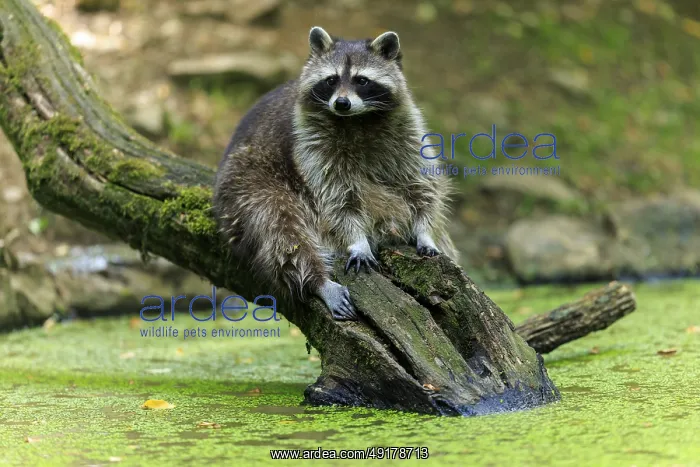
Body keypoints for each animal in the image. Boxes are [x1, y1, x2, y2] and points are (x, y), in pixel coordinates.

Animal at [213, 26, 458, 321]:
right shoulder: (311, 145)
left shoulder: (407, 131)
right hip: (247, 182)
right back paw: (317, 280)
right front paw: (357, 240)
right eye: (331, 80)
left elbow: (422, 184)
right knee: (278, 227)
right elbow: (336, 199)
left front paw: (425, 230)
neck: (356, 120)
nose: (342, 103)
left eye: (361, 80)